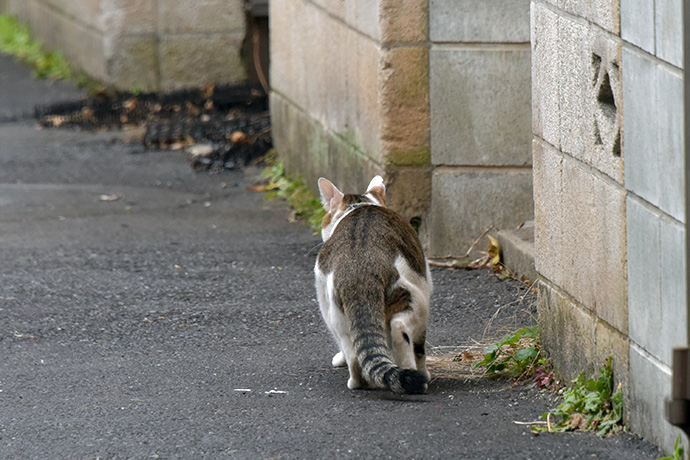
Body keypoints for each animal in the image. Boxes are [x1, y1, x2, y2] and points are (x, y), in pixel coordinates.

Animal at [314, 174, 430, 394]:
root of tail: (359, 271)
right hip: (413, 298)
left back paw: (358, 381)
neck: (359, 206)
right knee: (402, 330)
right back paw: (418, 375)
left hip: (336, 311)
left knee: (354, 354)